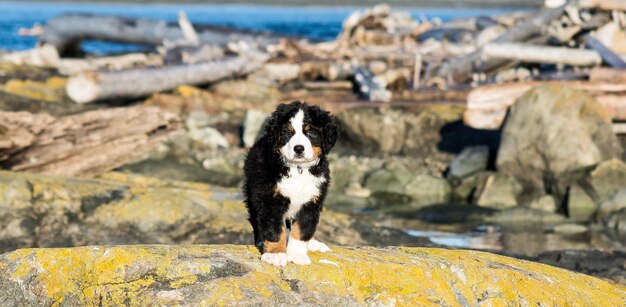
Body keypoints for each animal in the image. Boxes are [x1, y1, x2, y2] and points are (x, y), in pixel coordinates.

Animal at [243, 101, 336, 268]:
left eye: (311, 133)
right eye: (288, 133)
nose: (298, 148)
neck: (297, 169)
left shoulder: (311, 201)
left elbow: (302, 229)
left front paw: (298, 255)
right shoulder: (269, 199)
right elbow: (274, 230)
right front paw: (275, 255)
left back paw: (314, 243)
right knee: (256, 220)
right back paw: (260, 241)